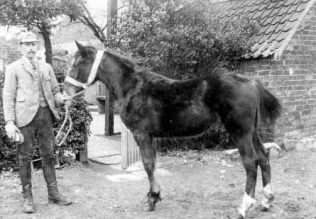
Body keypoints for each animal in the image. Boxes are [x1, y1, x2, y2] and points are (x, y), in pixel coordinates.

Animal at [64, 42, 282, 218]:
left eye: (77, 64)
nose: (65, 92)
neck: (134, 87)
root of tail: (252, 81)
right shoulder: (151, 137)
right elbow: (152, 163)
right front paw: (155, 195)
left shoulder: (141, 134)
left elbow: (148, 164)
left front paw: (152, 199)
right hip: (251, 132)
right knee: (263, 157)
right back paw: (267, 200)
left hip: (240, 132)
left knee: (251, 164)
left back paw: (244, 206)